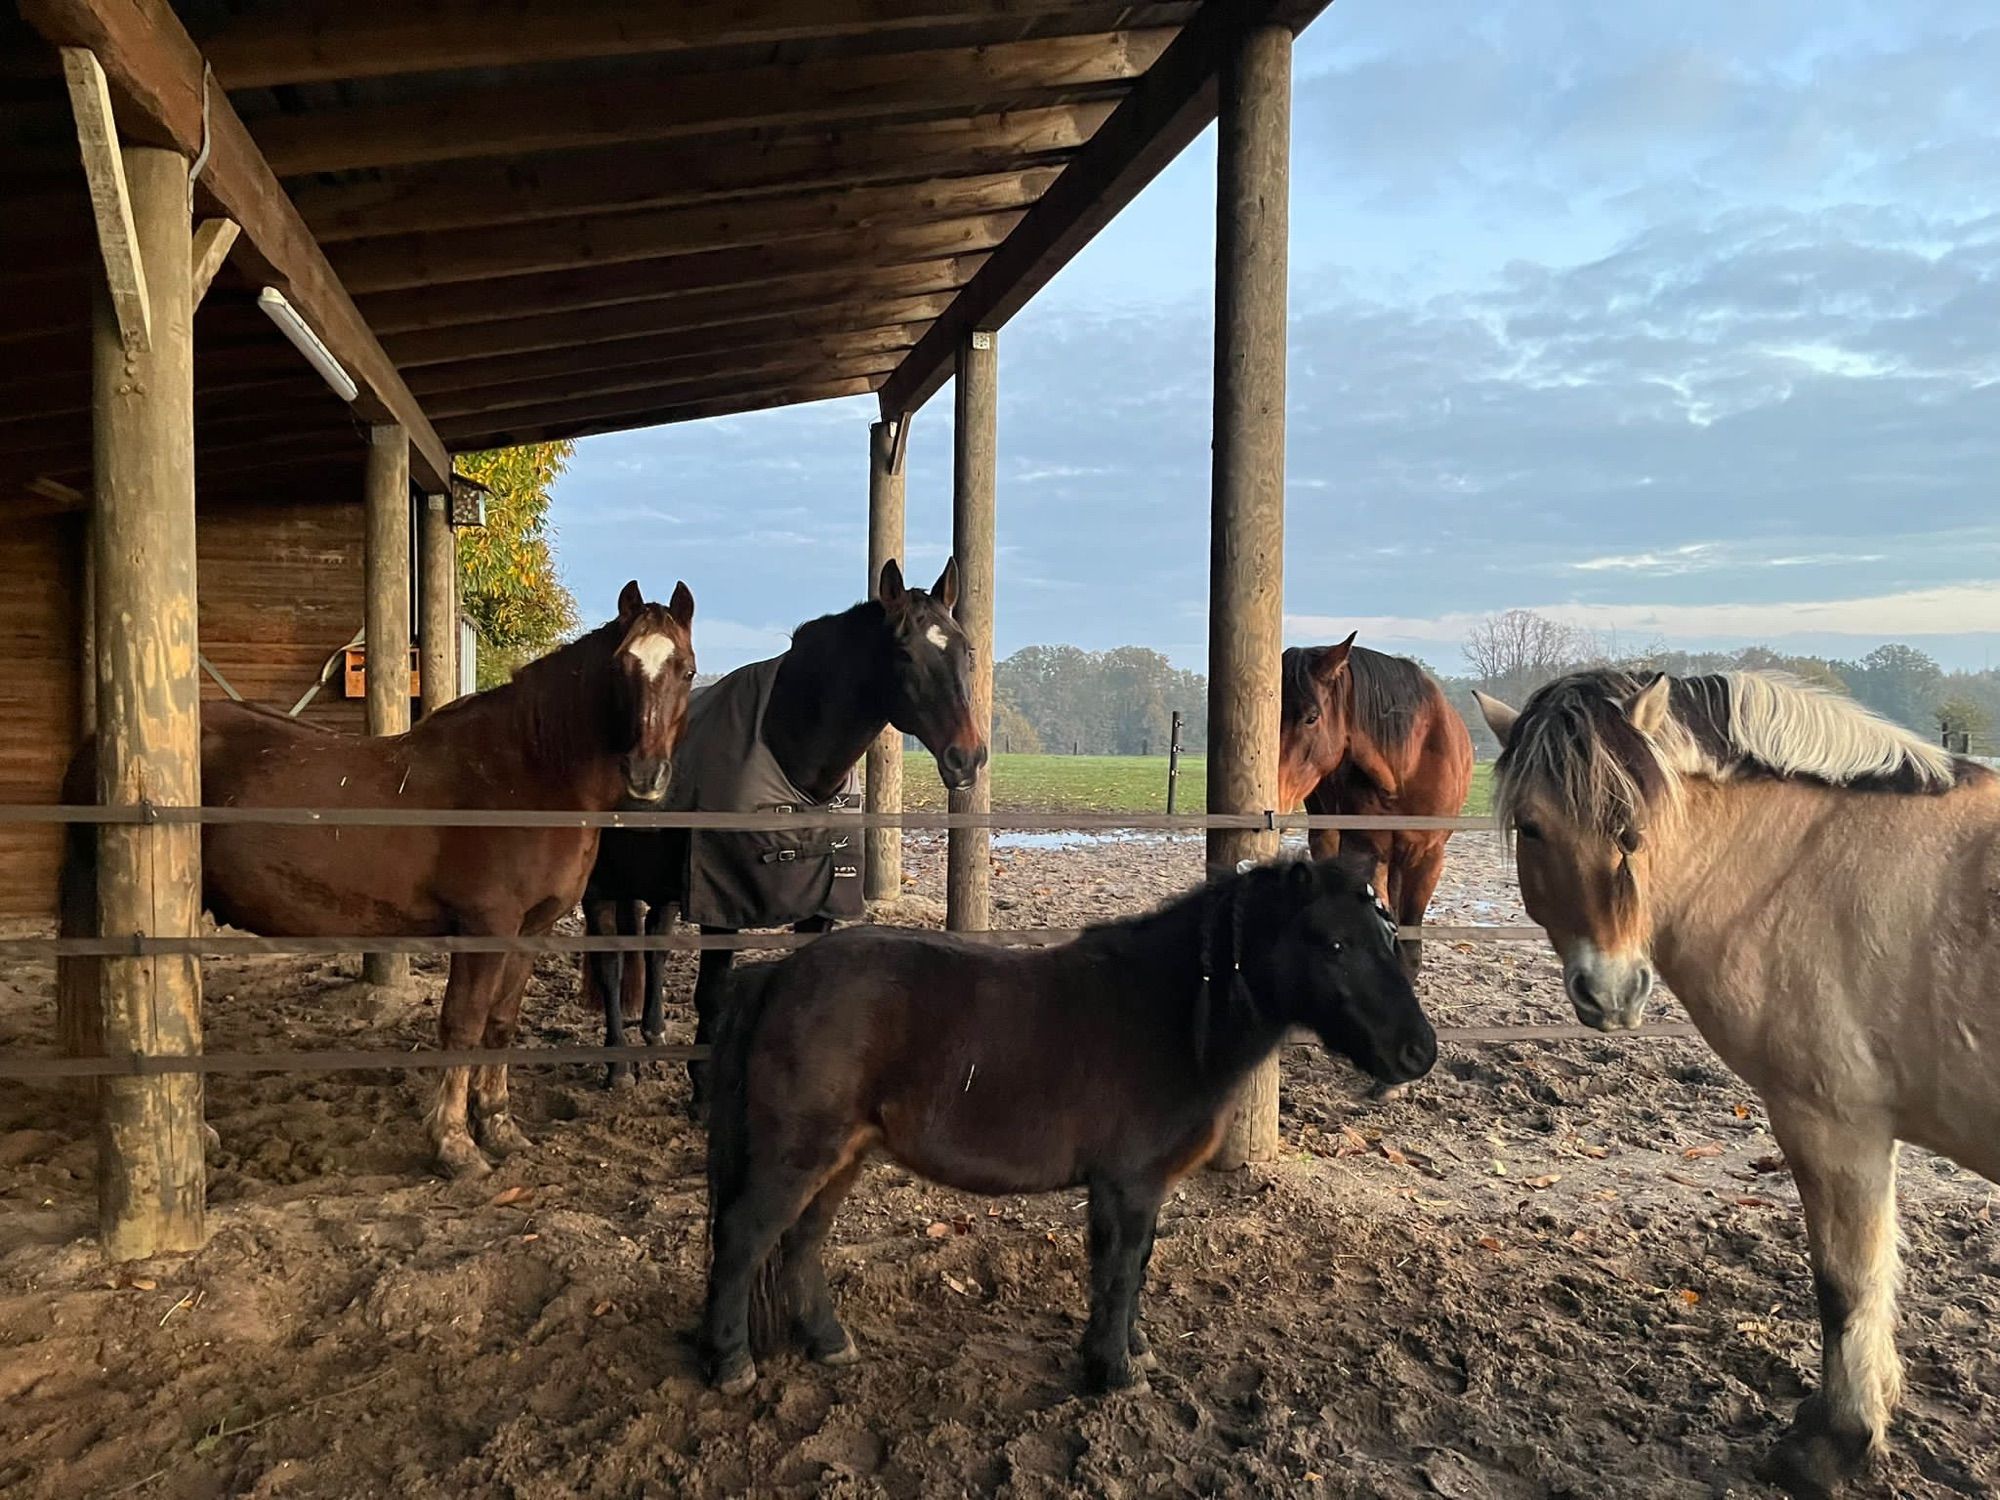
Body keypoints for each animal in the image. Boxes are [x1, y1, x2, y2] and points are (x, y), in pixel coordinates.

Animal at [58, 580, 700, 1184]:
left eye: (687, 670)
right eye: (620, 667)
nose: (646, 775)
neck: (527, 774)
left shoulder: (531, 930)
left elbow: (500, 1024)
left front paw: (500, 1129)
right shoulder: (484, 927)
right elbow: (462, 1024)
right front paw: (455, 1146)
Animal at [580, 560, 984, 1096]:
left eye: (966, 649)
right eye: (903, 652)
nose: (967, 757)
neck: (786, 752)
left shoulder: (819, 905)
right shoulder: (720, 906)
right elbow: (711, 994)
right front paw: (702, 1089)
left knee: (654, 947)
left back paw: (652, 1034)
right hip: (600, 885)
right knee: (609, 962)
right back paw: (619, 1064)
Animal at [704, 856, 1440, 1400]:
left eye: (1387, 935)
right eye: (1336, 944)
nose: (1419, 1053)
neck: (1171, 1016)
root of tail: (778, 975)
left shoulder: (1142, 1189)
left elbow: (1136, 1268)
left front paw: (1133, 1352)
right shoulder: (1127, 1185)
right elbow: (1118, 1270)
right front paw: (1114, 1371)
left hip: (844, 1154)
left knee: (800, 1241)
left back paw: (829, 1344)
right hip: (799, 1152)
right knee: (744, 1237)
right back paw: (730, 1365)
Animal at [1472, 676, 2000, 1496]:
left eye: (1634, 831)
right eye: (1531, 828)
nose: (1611, 993)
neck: (1806, 867)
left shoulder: (1834, 1125)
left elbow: (1847, 1282)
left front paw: (1832, 1443)